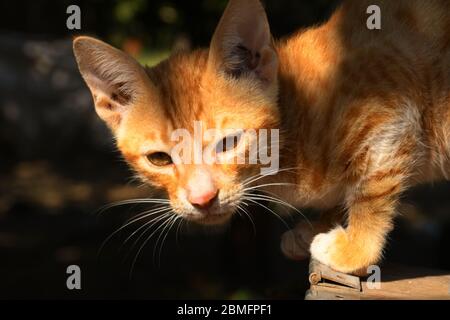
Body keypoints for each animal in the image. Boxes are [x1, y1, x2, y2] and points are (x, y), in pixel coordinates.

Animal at [73, 0, 450, 276]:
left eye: (228, 143)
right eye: (159, 159)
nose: (203, 199)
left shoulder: (390, 112)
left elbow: (372, 188)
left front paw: (357, 247)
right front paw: (318, 224)